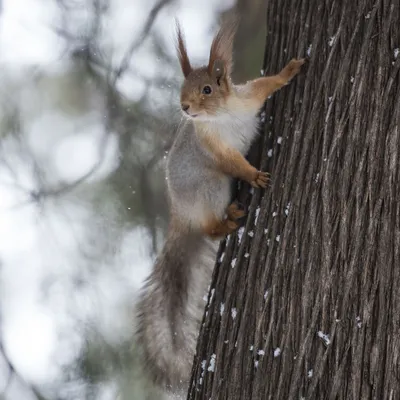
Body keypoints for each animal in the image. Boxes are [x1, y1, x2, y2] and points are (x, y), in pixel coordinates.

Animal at [134, 17, 304, 392]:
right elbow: (234, 164)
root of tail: (181, 216)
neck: (220, 117)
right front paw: (255, 176)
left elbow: (266, 84)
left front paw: (290, 70)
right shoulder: (214, 148)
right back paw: (228, 219)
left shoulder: (247, 98)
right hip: (212, 188)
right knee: (210, 230)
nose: (184, 107)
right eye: (182, 87)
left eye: (208, 89)